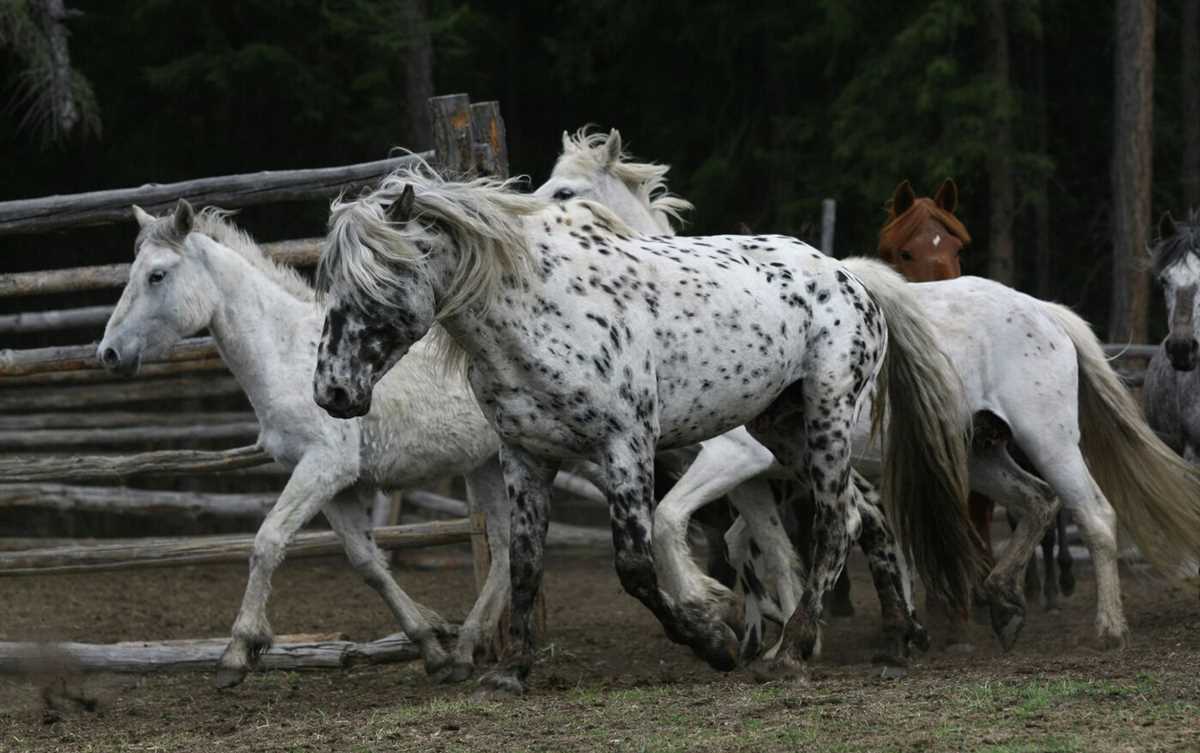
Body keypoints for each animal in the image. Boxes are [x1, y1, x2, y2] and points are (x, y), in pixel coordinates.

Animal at [97, 202, 511, 685]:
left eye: (157, 275)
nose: (108, 354)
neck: (289, 354)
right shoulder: (335, 484)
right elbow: (368, 563)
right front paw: (431, 646)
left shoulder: (324, 467)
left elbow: (268, 541)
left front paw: (239, 651)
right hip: (485, 465)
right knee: (505, 548)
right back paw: (465, 650)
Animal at [309, 158, 974, 695]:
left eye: (381, 280)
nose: (333, 392)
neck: (538, 312)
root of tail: (846, 275)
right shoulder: (526, 456)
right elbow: (525, 563)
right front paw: (511, 672)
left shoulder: (625, 445)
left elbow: (637, 561)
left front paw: (714, 640)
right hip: (781, 429)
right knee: (865, 514)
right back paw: (893, 640)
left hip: (826, 416)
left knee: (837, 522)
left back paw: (790, 652)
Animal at [540, 127, 1200, 652]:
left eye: (564, 192)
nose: (524, 213)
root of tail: (1045, 311)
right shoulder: (757, 481)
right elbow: (758, 549)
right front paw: (771, 630)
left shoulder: (737, 460)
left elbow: (694, 526)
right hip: (981, 453)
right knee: (1037, 503)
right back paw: (1001, 604)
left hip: (1050, 439)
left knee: (1094, 514)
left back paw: (1107, 628)